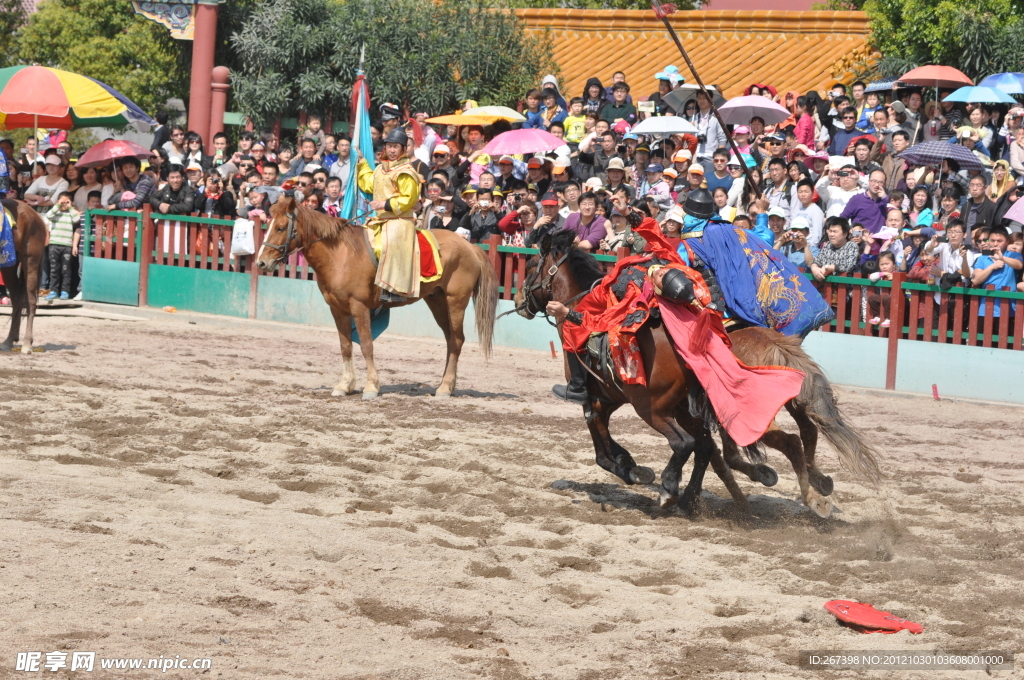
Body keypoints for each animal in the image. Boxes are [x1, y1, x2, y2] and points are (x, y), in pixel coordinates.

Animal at [0, 199, 47, 352]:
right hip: (9, 267)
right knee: (16, 300)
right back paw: (9, 340)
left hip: (30, 260)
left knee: (31, 301)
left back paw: (27, 343)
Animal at [253, 196, 497, 399]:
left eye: (281, 227)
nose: (261, 262)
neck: (340, 254)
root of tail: (470, 246)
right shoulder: (338, 309)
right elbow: (345, 346)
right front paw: (345, 385)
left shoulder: (358, 307)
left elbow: (366, 345)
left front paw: (371, 386)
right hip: (437, 301)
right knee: (449, 340)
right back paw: (447, 384)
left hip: (456, 302)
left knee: (456, 340)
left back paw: (445, 387)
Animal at [512, 228, 880, 516]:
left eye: (529, 266)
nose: (518, 301)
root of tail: (776, 344)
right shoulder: (619, 400)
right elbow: (709, 453)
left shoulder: (600, 400)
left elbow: (603, 448)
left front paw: (636, 471)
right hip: (779, 402)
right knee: (805, 432)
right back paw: (814, 485)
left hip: (657, 408)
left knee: (699, 443)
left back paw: (673, 490)